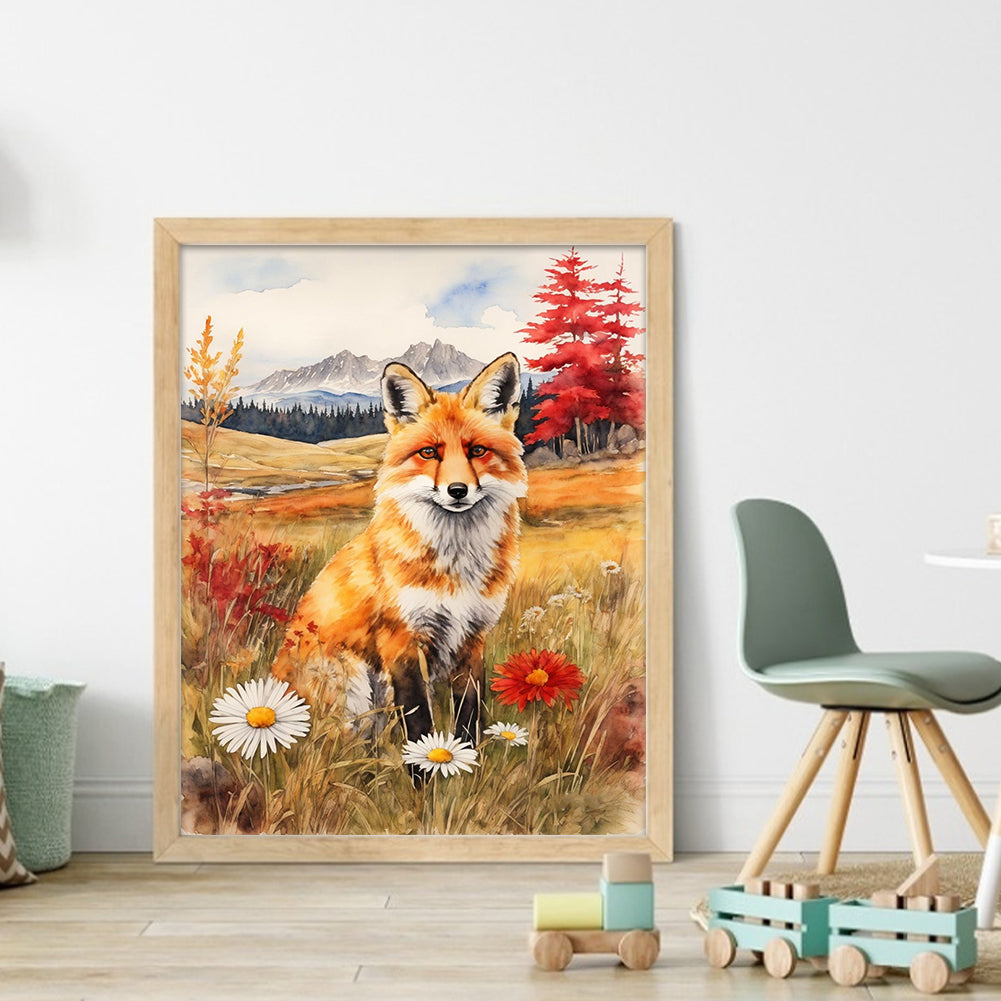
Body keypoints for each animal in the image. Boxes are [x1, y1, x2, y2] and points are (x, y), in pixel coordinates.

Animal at [270, 352, 527, 757]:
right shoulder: (402, 641)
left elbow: (468, 715)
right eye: (429, 453)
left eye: (477, 451)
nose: (457, 490)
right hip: (354, 689)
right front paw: (427, 770)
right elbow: (419, 723)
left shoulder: (473, 638)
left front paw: (466, 766)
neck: (455, 566)